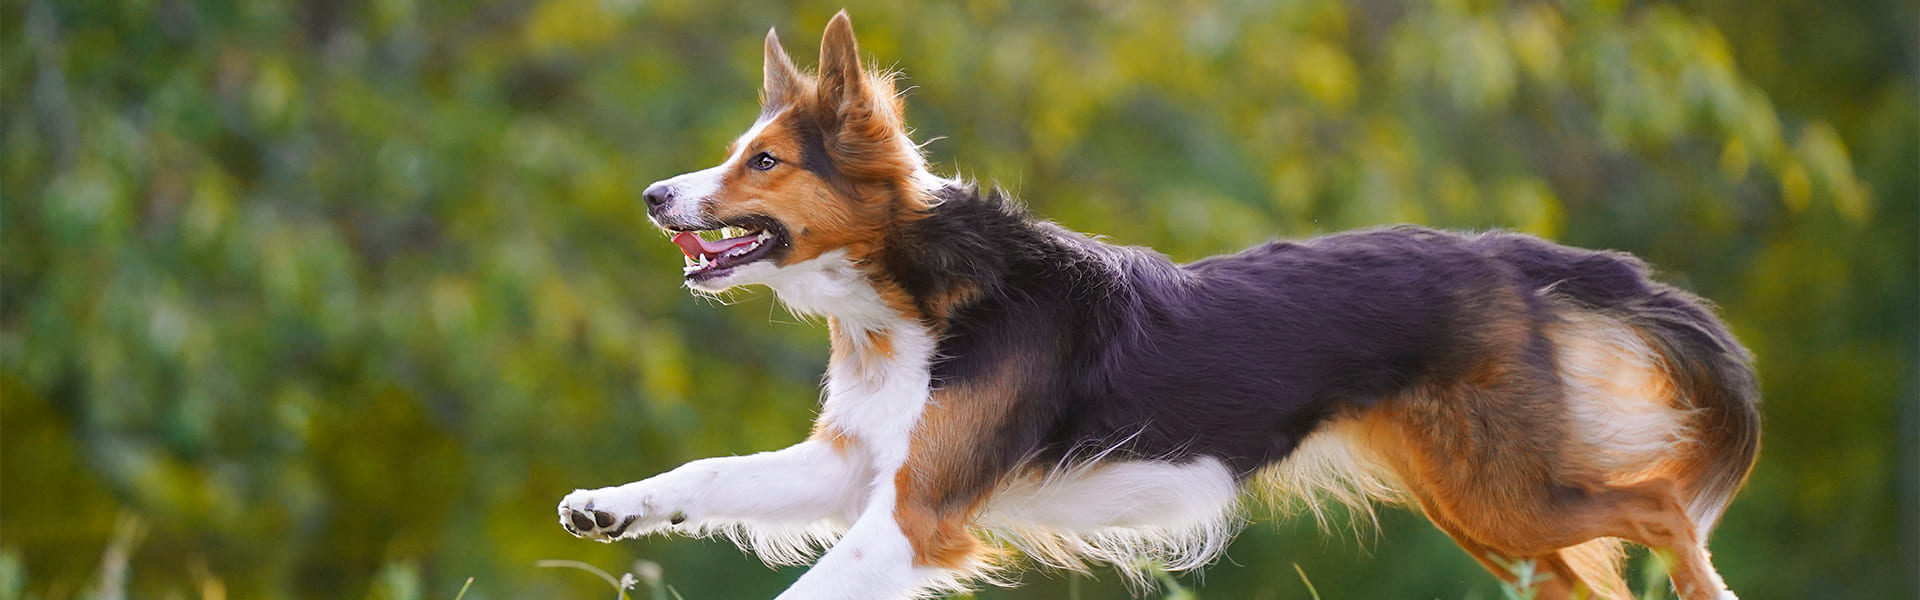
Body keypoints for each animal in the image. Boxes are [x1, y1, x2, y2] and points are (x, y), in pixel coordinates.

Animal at [556, 10, 1758, 600]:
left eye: (761, 163)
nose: (655, 196)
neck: (919, 297)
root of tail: (1511, 256)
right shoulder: (861, 465)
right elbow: (710, 476)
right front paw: (610, 506)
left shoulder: (918, 508)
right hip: (1485, 507)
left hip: (1507, 490)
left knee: (1663, 508)